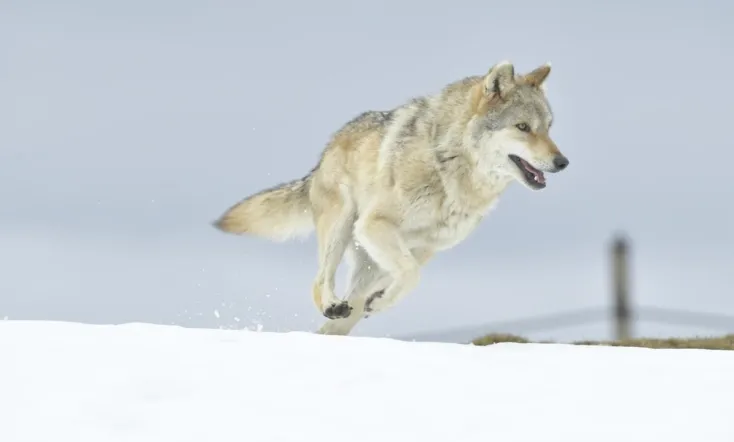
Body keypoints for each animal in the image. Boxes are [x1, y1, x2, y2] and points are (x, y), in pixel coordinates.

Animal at [213, 60, 570, 336]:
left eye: (549, 128)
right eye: (523, 127)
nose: (562, 162)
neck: (449, 166)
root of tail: (325, 152)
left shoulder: (425, 248)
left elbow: (409, 278)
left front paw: (381, 301)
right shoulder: (375, 224)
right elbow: (411, 275)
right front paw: (381, 301)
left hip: (370, 261)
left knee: (345, 314)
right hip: (344, 226)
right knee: (320, 283)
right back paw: (332, 305)